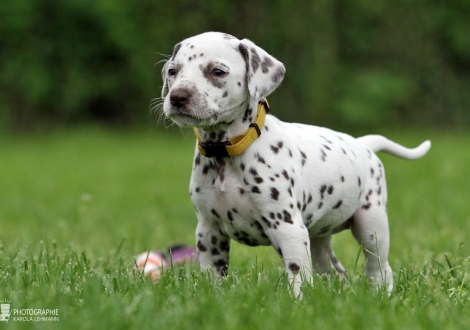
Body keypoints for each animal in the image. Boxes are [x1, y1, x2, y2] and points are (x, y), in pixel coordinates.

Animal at [159, 31, 430, 296]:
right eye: (173, 71)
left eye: (217, 71)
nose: (178, 97)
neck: (228, 151)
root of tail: (363, 144)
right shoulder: (209, 231)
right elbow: (213, 275)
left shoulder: (287, 228)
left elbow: (298, 275)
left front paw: (298, 303)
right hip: (319, 235)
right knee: (333, 270)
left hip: (371, 224)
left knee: (379, 267)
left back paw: (380, 294)